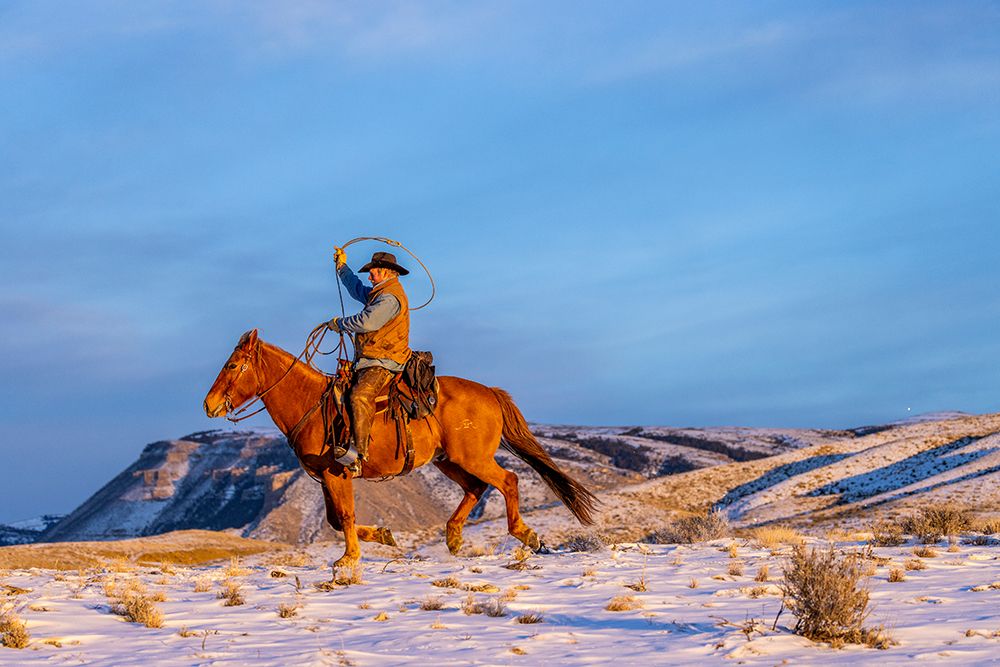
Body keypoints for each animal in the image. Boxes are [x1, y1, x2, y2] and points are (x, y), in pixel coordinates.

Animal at [203, 329, 598, 572]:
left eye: (233, 365)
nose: (209, 405)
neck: (310, 404)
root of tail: (490, 392)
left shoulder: (337, 472)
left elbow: (344, 516)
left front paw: (348, 559)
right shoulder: (324, 478)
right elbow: (334, 519)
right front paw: (383, 535)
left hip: (473, 458)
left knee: (508, 480)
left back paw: (525, 533)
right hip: (448, 461)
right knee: (476, 488)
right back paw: (454, 537)